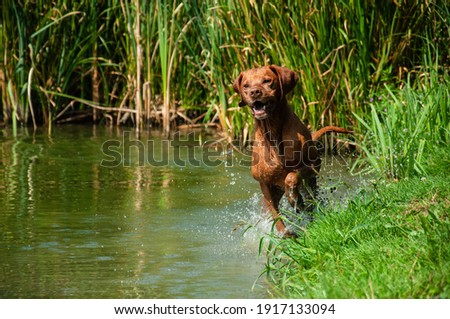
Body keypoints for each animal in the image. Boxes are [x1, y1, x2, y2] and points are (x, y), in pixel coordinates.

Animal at [234, 65, 350, 236]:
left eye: (267, 81)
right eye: (246, 85)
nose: (254, 92)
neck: (273, 132)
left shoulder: (314, 165)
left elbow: (292, 176)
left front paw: (294, 198)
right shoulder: (264, 184)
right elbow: (275, 214)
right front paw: (285, 233)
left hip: (311, 185)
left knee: (310, 202)